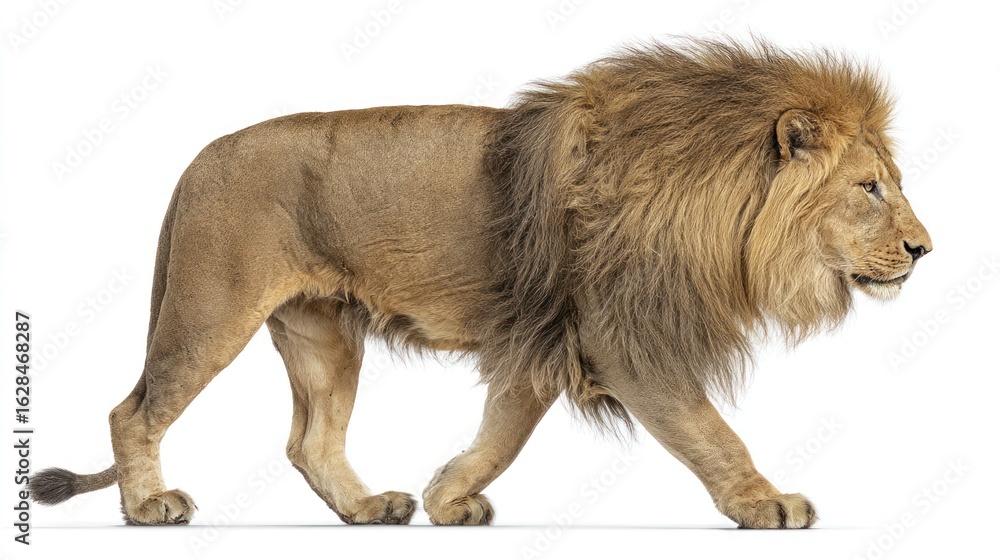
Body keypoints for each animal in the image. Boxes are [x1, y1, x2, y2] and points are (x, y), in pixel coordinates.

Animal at [30, 38, 931, 529]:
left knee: (310, 441)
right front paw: (764, 503)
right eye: (869, 189)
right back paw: (150, 508)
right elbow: (710, 431)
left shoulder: (544, 338)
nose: (925, 250)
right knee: (134, 411)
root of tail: (194, 158)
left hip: (324, 330)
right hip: (211, 307)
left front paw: (446, 496)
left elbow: (503, 431)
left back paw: (370, 509)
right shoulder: (623, 338)